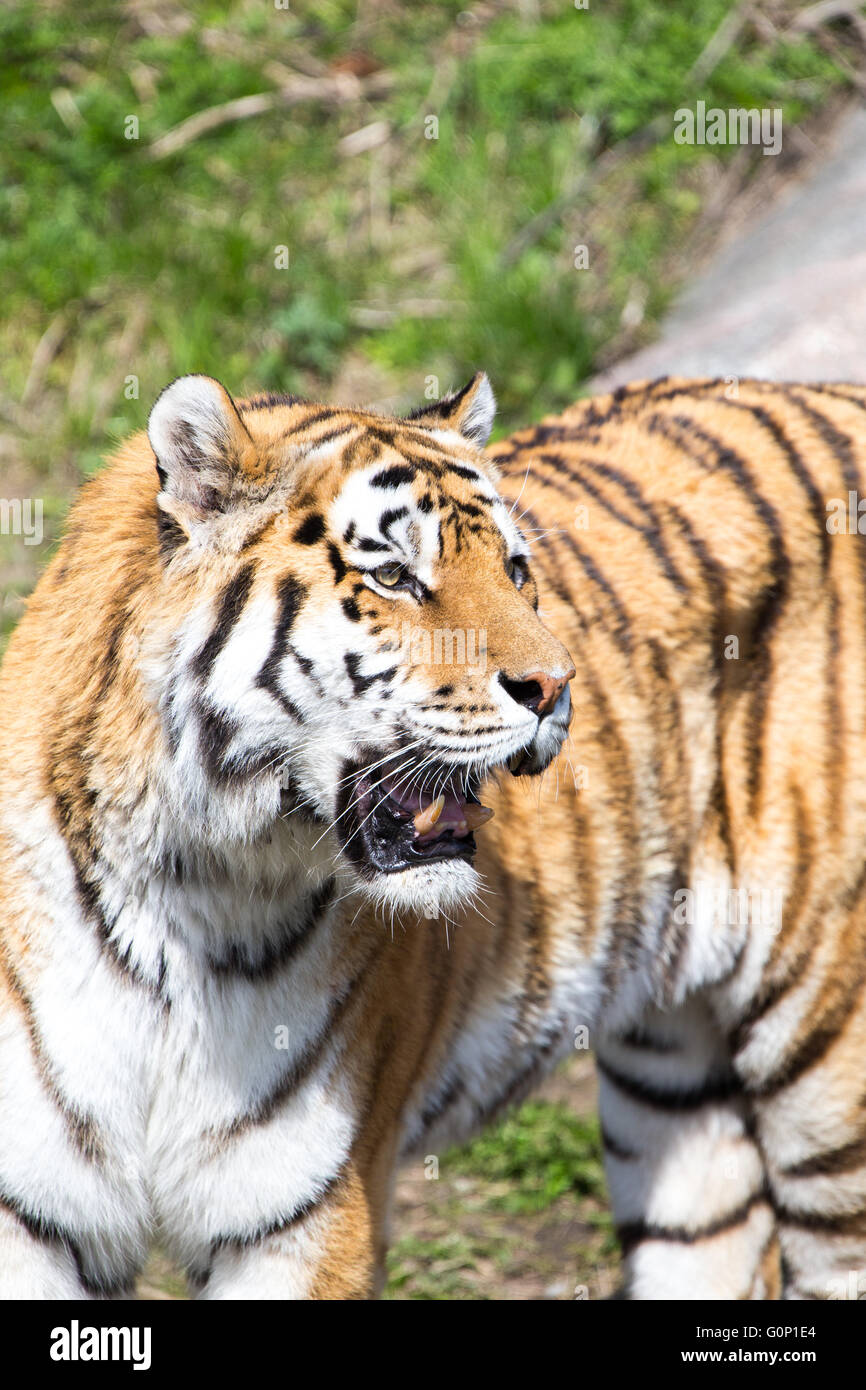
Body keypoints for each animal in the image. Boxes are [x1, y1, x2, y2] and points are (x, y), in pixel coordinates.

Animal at [1, 369, 865, 1301]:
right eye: (393, 576)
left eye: (516, 570)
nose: (556, 685)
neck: (190, 887)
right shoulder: (30, 1214)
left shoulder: (310, 1214)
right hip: (673, 1087)